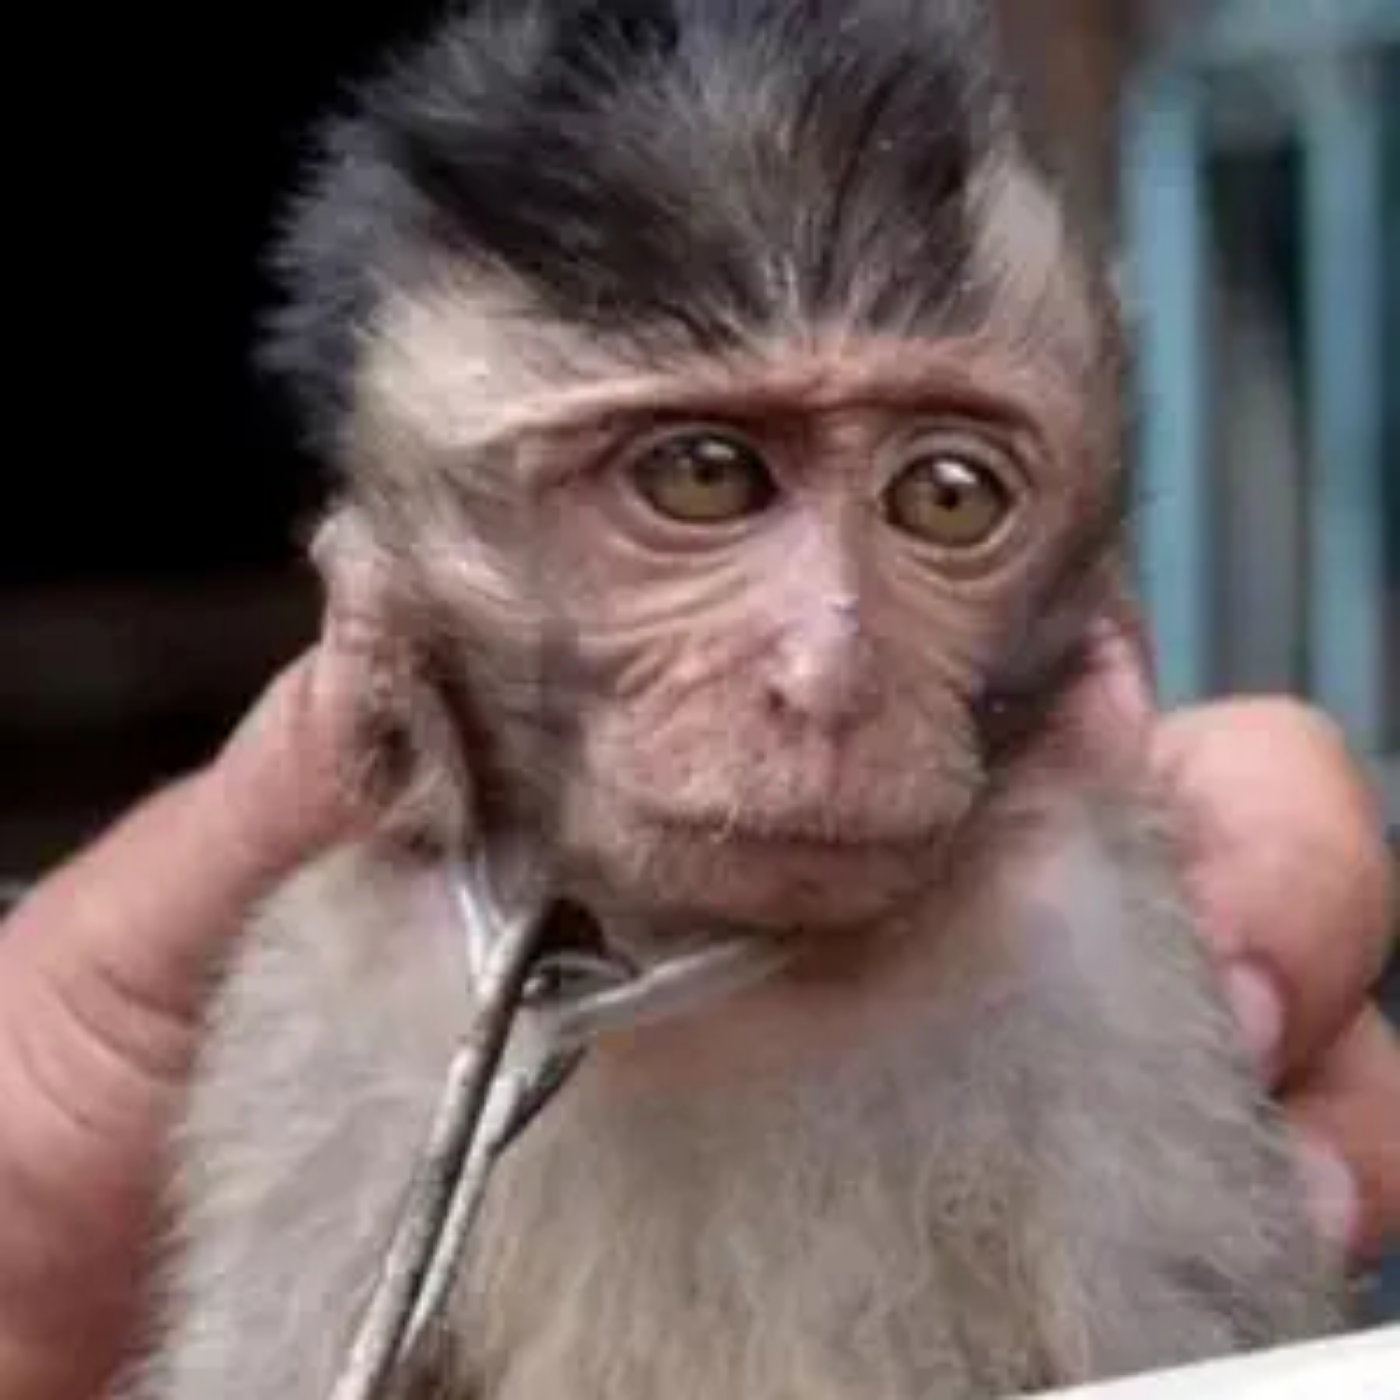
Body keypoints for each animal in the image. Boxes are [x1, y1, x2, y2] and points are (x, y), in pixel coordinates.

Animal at [114, 2, 1348, 1397]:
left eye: (947, 495)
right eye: (703, 475)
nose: (827, 682)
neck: (691, 960)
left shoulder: (1106, 971)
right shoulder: (320, 999)